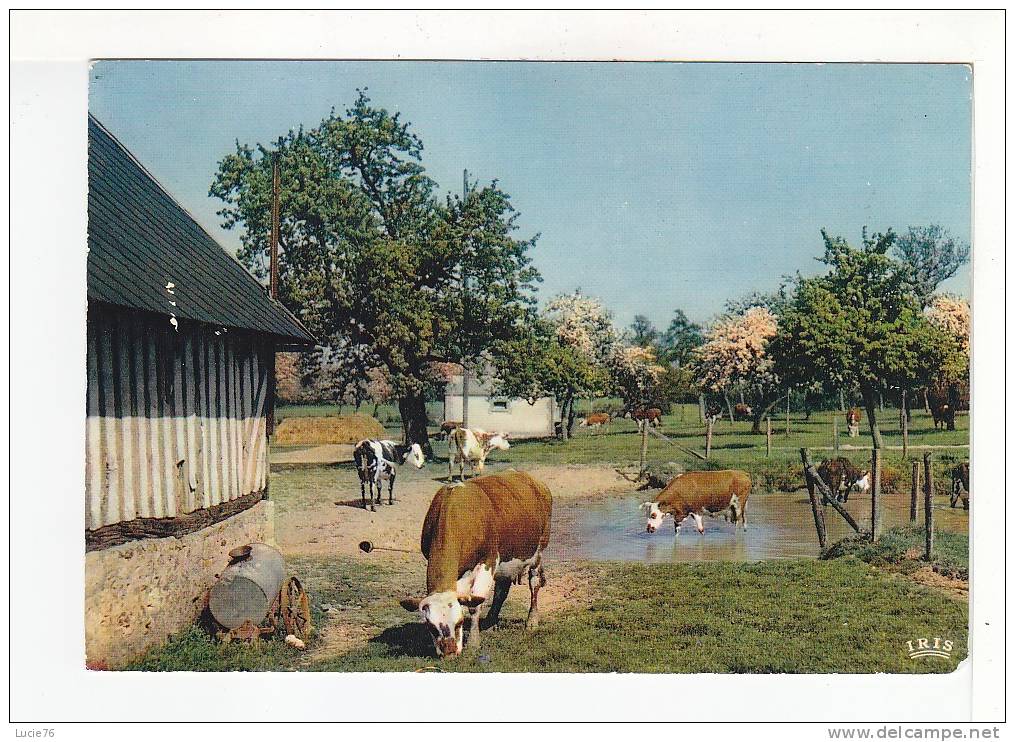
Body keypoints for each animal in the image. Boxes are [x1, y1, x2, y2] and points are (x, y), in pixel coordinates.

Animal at [399, 473, 552, 657]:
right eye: (431, 627)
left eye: (459, 623)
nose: (450, 653)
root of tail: (532, 479)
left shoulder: (488, 561)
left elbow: (474, 604)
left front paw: (473, 642)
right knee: (501, 590)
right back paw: (491, 621)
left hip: (539, 550)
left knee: (534, 583)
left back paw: (531, 621)